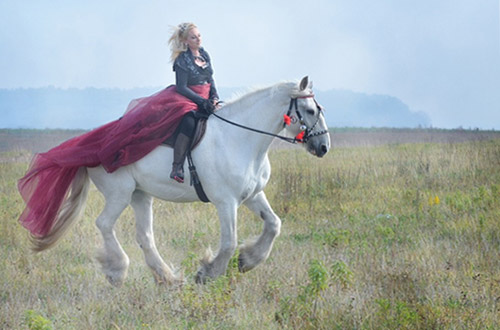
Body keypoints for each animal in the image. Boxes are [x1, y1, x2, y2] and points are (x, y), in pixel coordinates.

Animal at [36, 76, 332, 284]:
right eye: (308, 110)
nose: (323, 147)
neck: (241, 138)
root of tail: (91, 144)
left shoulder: (252, 195)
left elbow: (273, 224)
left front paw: (247, 261)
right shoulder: (226, 202)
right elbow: (229, 242)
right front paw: (207, 273)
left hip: (140, 195)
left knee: (145, 236)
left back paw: (167, 278)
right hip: (120, 193)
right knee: (105, 224)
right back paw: (117, 271)